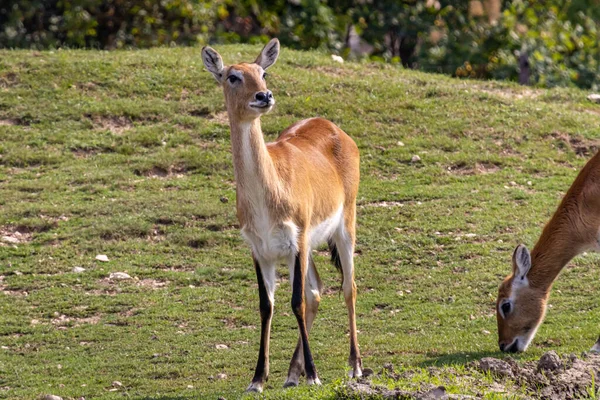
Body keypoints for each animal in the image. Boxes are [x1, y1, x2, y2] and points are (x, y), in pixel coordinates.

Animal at [202, 38, 364, 390]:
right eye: (232, 76)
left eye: (262, 72)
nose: (264, 96)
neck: (268, 194)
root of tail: (333, 127)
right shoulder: (260, 250)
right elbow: (267, 306)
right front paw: (258, 379)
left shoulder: (297, 241)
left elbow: (296, 301)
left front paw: (314, 376)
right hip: (305, 249)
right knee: (317, 291)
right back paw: (292, 373)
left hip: (344, 226)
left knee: (348, 287)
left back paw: (355, 367)